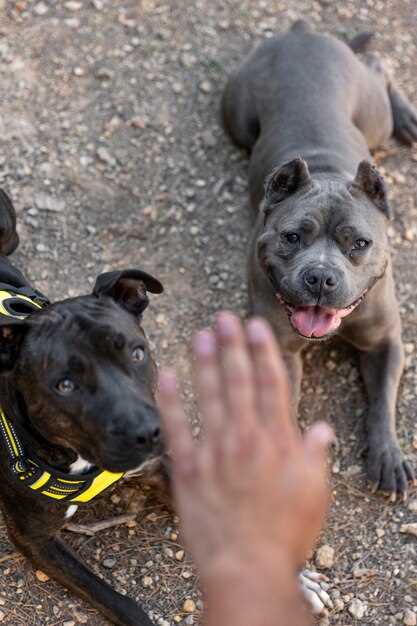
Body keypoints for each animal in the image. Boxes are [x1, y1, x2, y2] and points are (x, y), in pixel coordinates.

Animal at [223, 20, 414, 502]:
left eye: (359, 243)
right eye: (292, 237)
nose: (322, 278)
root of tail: (301, 32)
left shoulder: (386, 342)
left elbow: (382, 402)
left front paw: (387, 455)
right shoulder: (279, 349)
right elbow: (285, 404)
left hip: (373, 115)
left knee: (378, 66)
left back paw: (407, 117)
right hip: (235, 119)